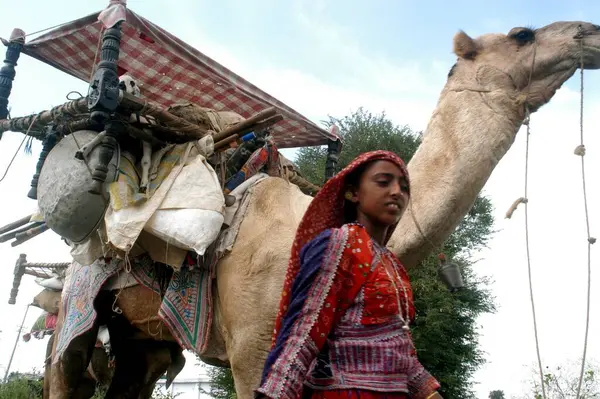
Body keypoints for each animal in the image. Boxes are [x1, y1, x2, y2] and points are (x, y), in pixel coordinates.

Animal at [49, 21, 600, 399]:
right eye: (522, 34)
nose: (589, 32)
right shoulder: (252, 350)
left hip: (143, 339)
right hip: (75, 308)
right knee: (68, 372)